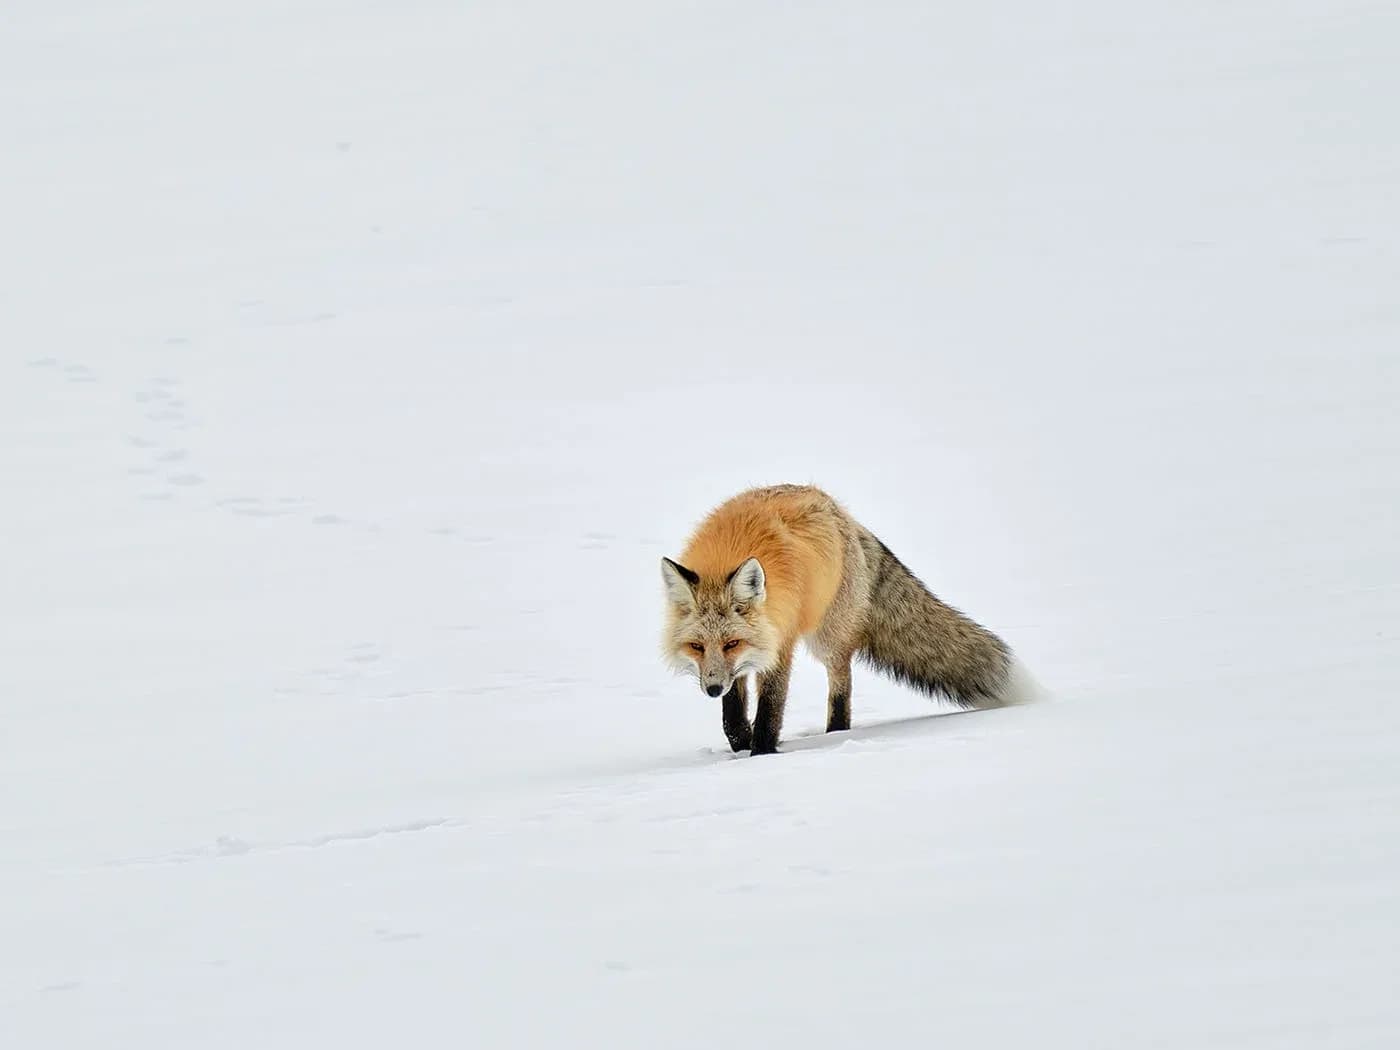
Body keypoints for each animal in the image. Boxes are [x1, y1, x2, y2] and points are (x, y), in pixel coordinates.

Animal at [661, 484, 1035, 755]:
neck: (727, 555)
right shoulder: (745, 659)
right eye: (696, 646)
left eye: (731, 642)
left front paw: (762, 753)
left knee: (842, 682)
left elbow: (770, 707)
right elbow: (732, 713)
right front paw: (740, 743)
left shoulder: (778, 643)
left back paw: (835, 735)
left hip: (826, 637)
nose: (711, 689)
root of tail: (844, 514)